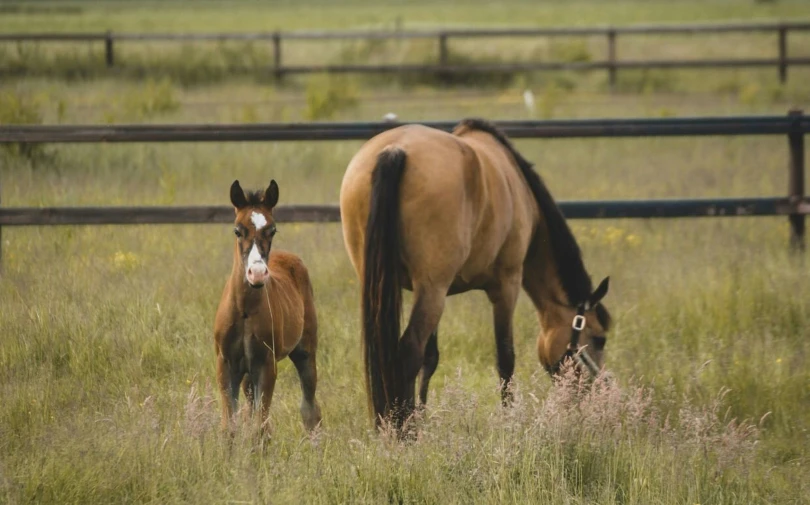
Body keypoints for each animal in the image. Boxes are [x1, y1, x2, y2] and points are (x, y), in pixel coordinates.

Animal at [215, 180, 322, 434]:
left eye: (272, 230)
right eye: (237, 230)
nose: (257, 273)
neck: (244, 310)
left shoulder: (266, 364)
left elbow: (260, 428)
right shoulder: (225, 364)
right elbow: (229, 427)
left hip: (305, 351)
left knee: (310, 408)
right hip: (246, 374)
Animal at [338, 118, 608, 426]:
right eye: (599, 339)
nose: (598, 393)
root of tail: (395, 150)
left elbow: (431, 358)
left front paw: (424, 414)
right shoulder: (506, 285)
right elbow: (505, 357)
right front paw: (508, 419)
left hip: (393, 288)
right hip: (432, 291)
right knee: (408, 353)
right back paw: (406, 431)